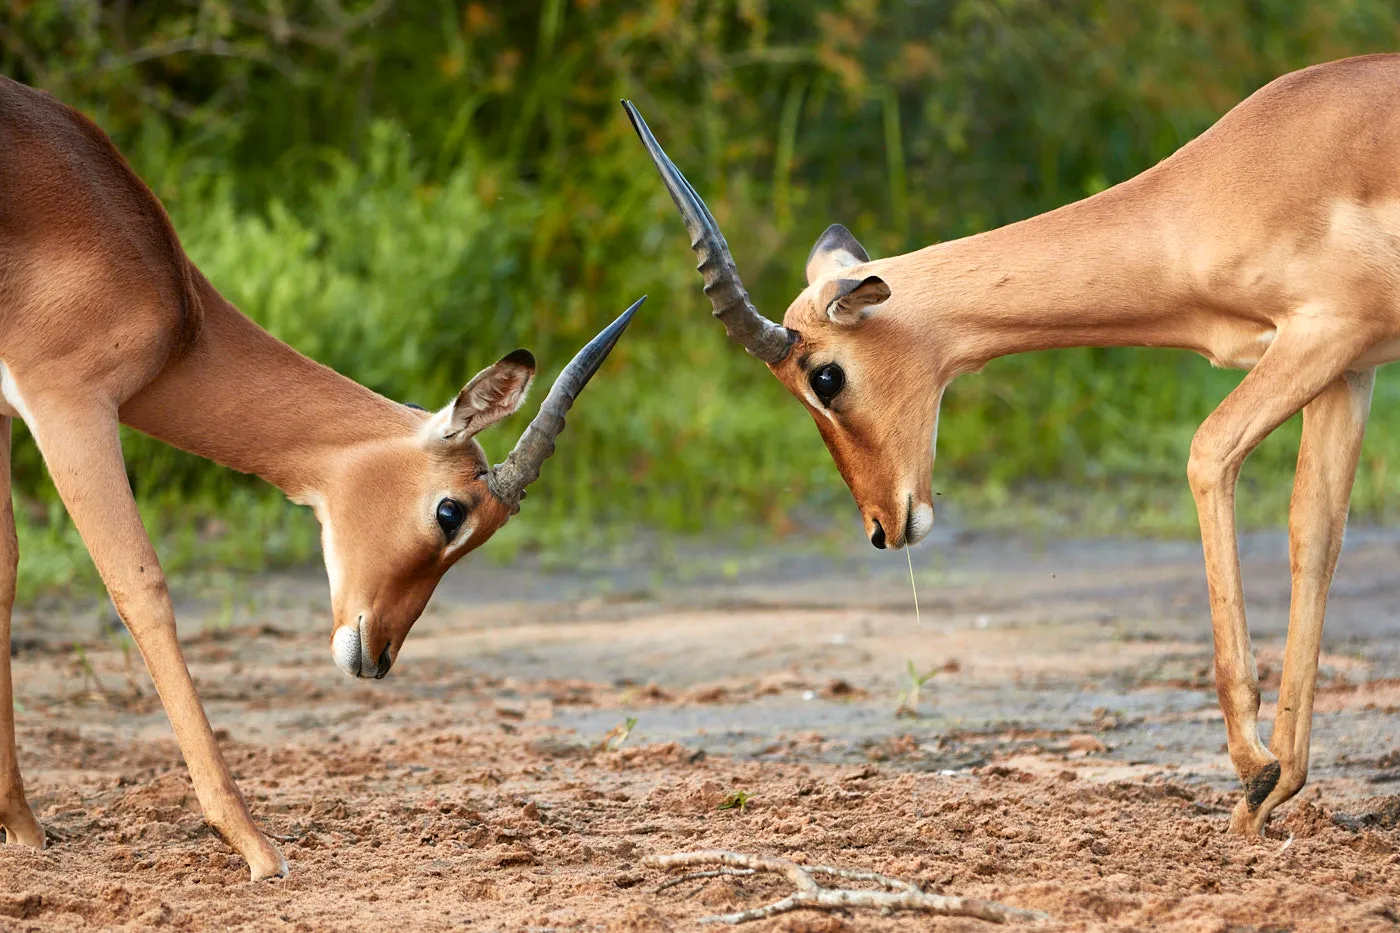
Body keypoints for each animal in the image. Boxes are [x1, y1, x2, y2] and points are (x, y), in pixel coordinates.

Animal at [0, 74, 640, 880]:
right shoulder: (68, 401)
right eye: (452, 512)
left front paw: (21, 826)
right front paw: (255, 844)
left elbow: (4, 572)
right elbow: (141, 586)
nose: (378, 655)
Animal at [625, 52, 1400, 835]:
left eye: (825, 376)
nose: (881, 526)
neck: (1231, 180)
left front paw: (1254, 770)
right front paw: (1272, 789)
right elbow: (1315, 531)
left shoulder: (1326, 333)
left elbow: (1208, 450)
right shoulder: (1350, 367)